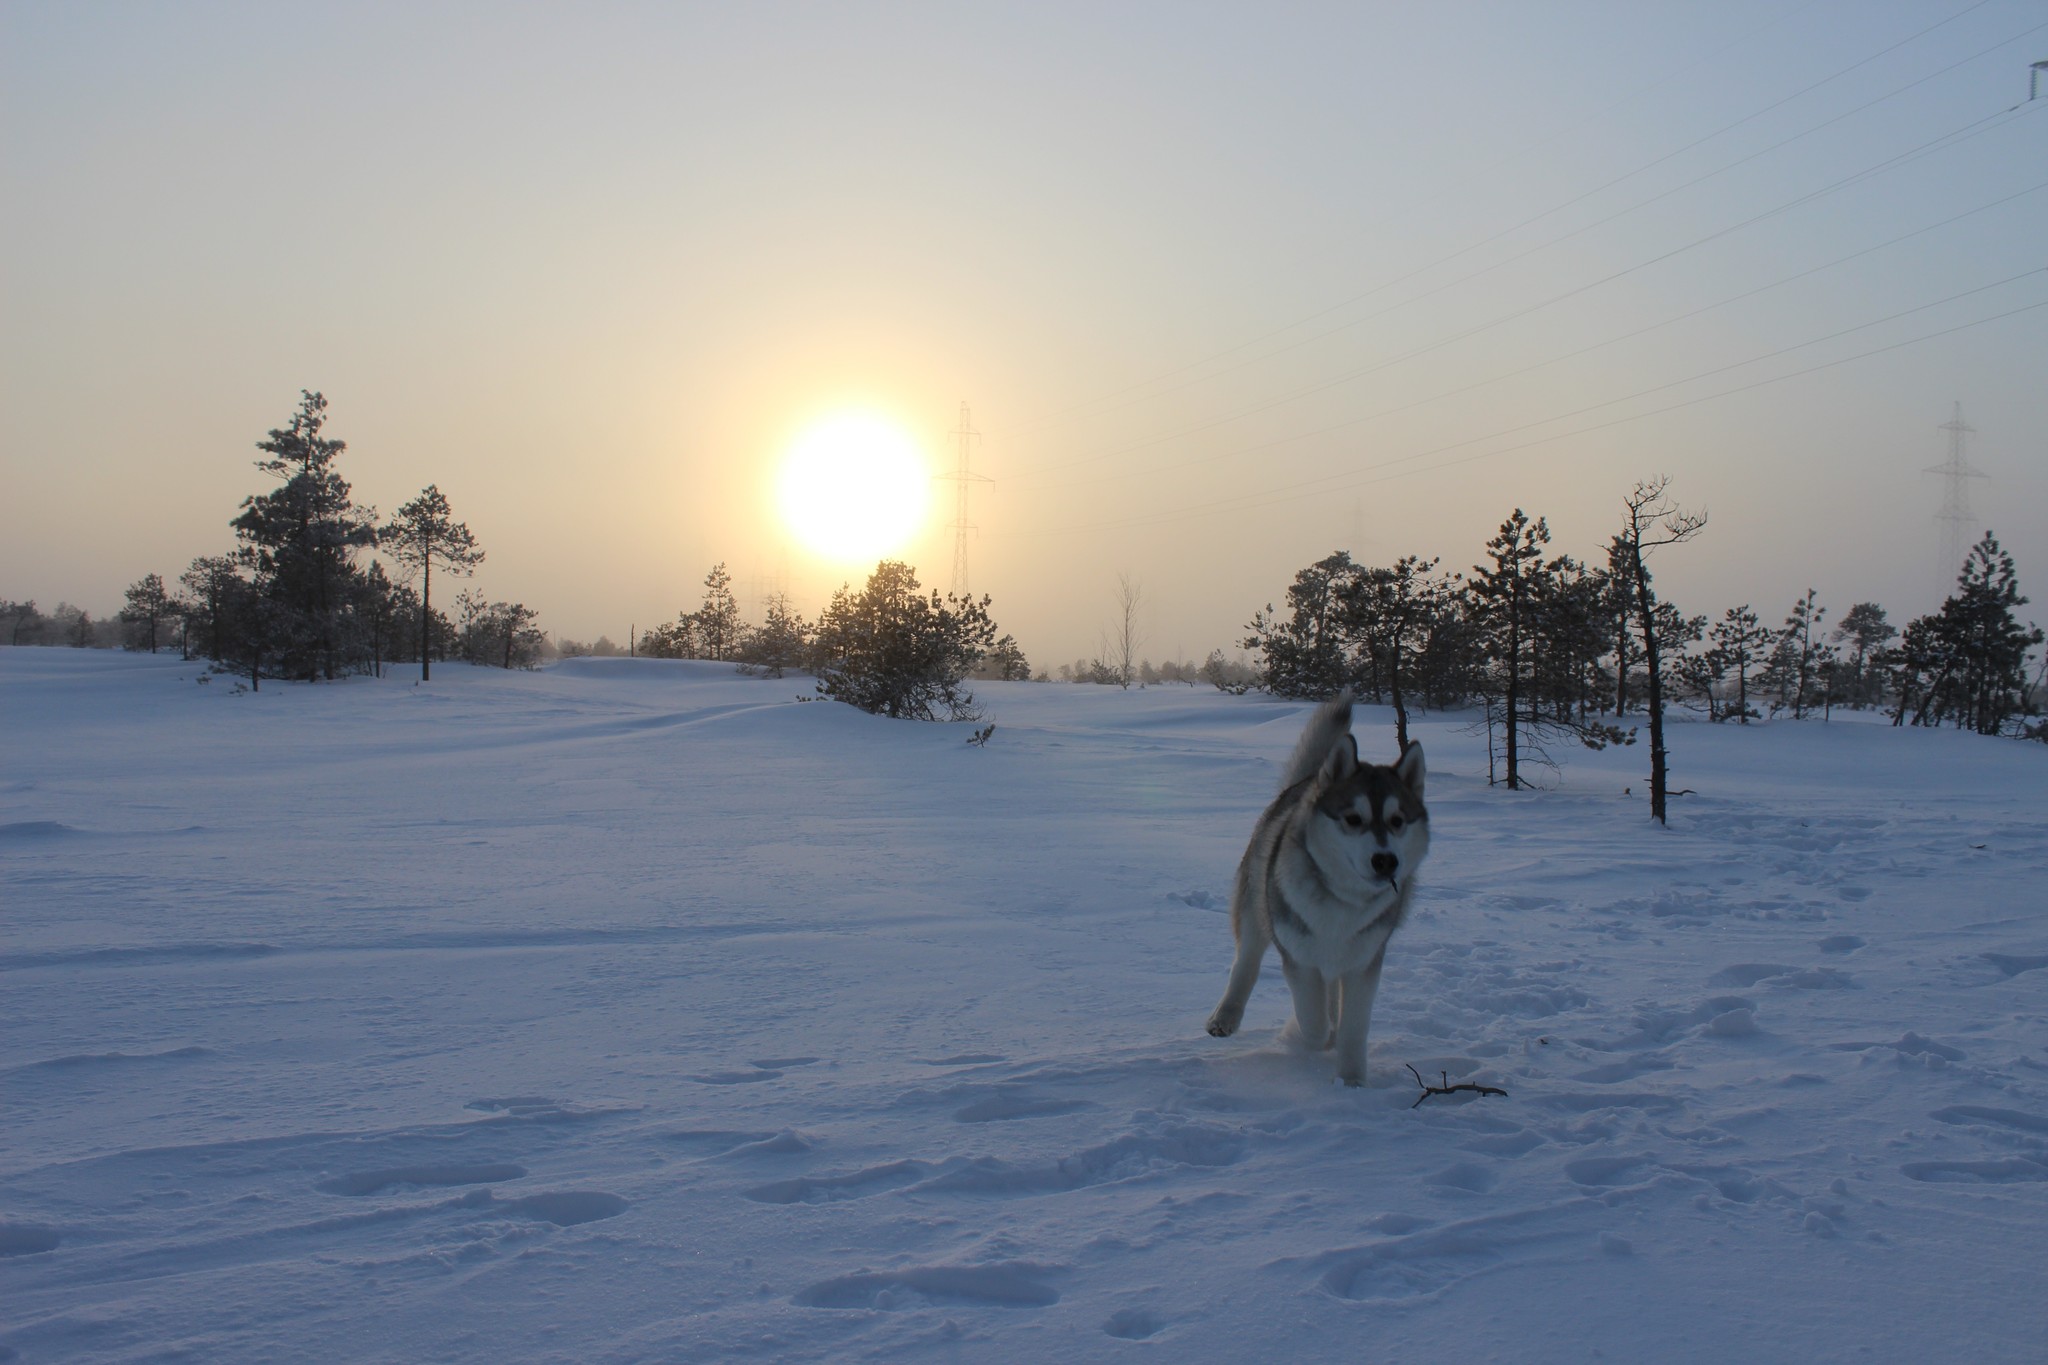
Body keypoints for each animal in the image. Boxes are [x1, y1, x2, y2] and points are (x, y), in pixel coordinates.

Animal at [1196, 695, 1425, 1088]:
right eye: (1353, 819)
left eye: (1397, 821)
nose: (1385, 861)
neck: (1341, 900)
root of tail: (1307, 781)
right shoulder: (1298, 957)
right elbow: (1314, 1022)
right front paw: (1310, 1036)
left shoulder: (1364, 961)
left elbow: (1353, 1028)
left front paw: (1352, 1083)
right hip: (1256, 908)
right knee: (1246, 963)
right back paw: (1225, 1016)